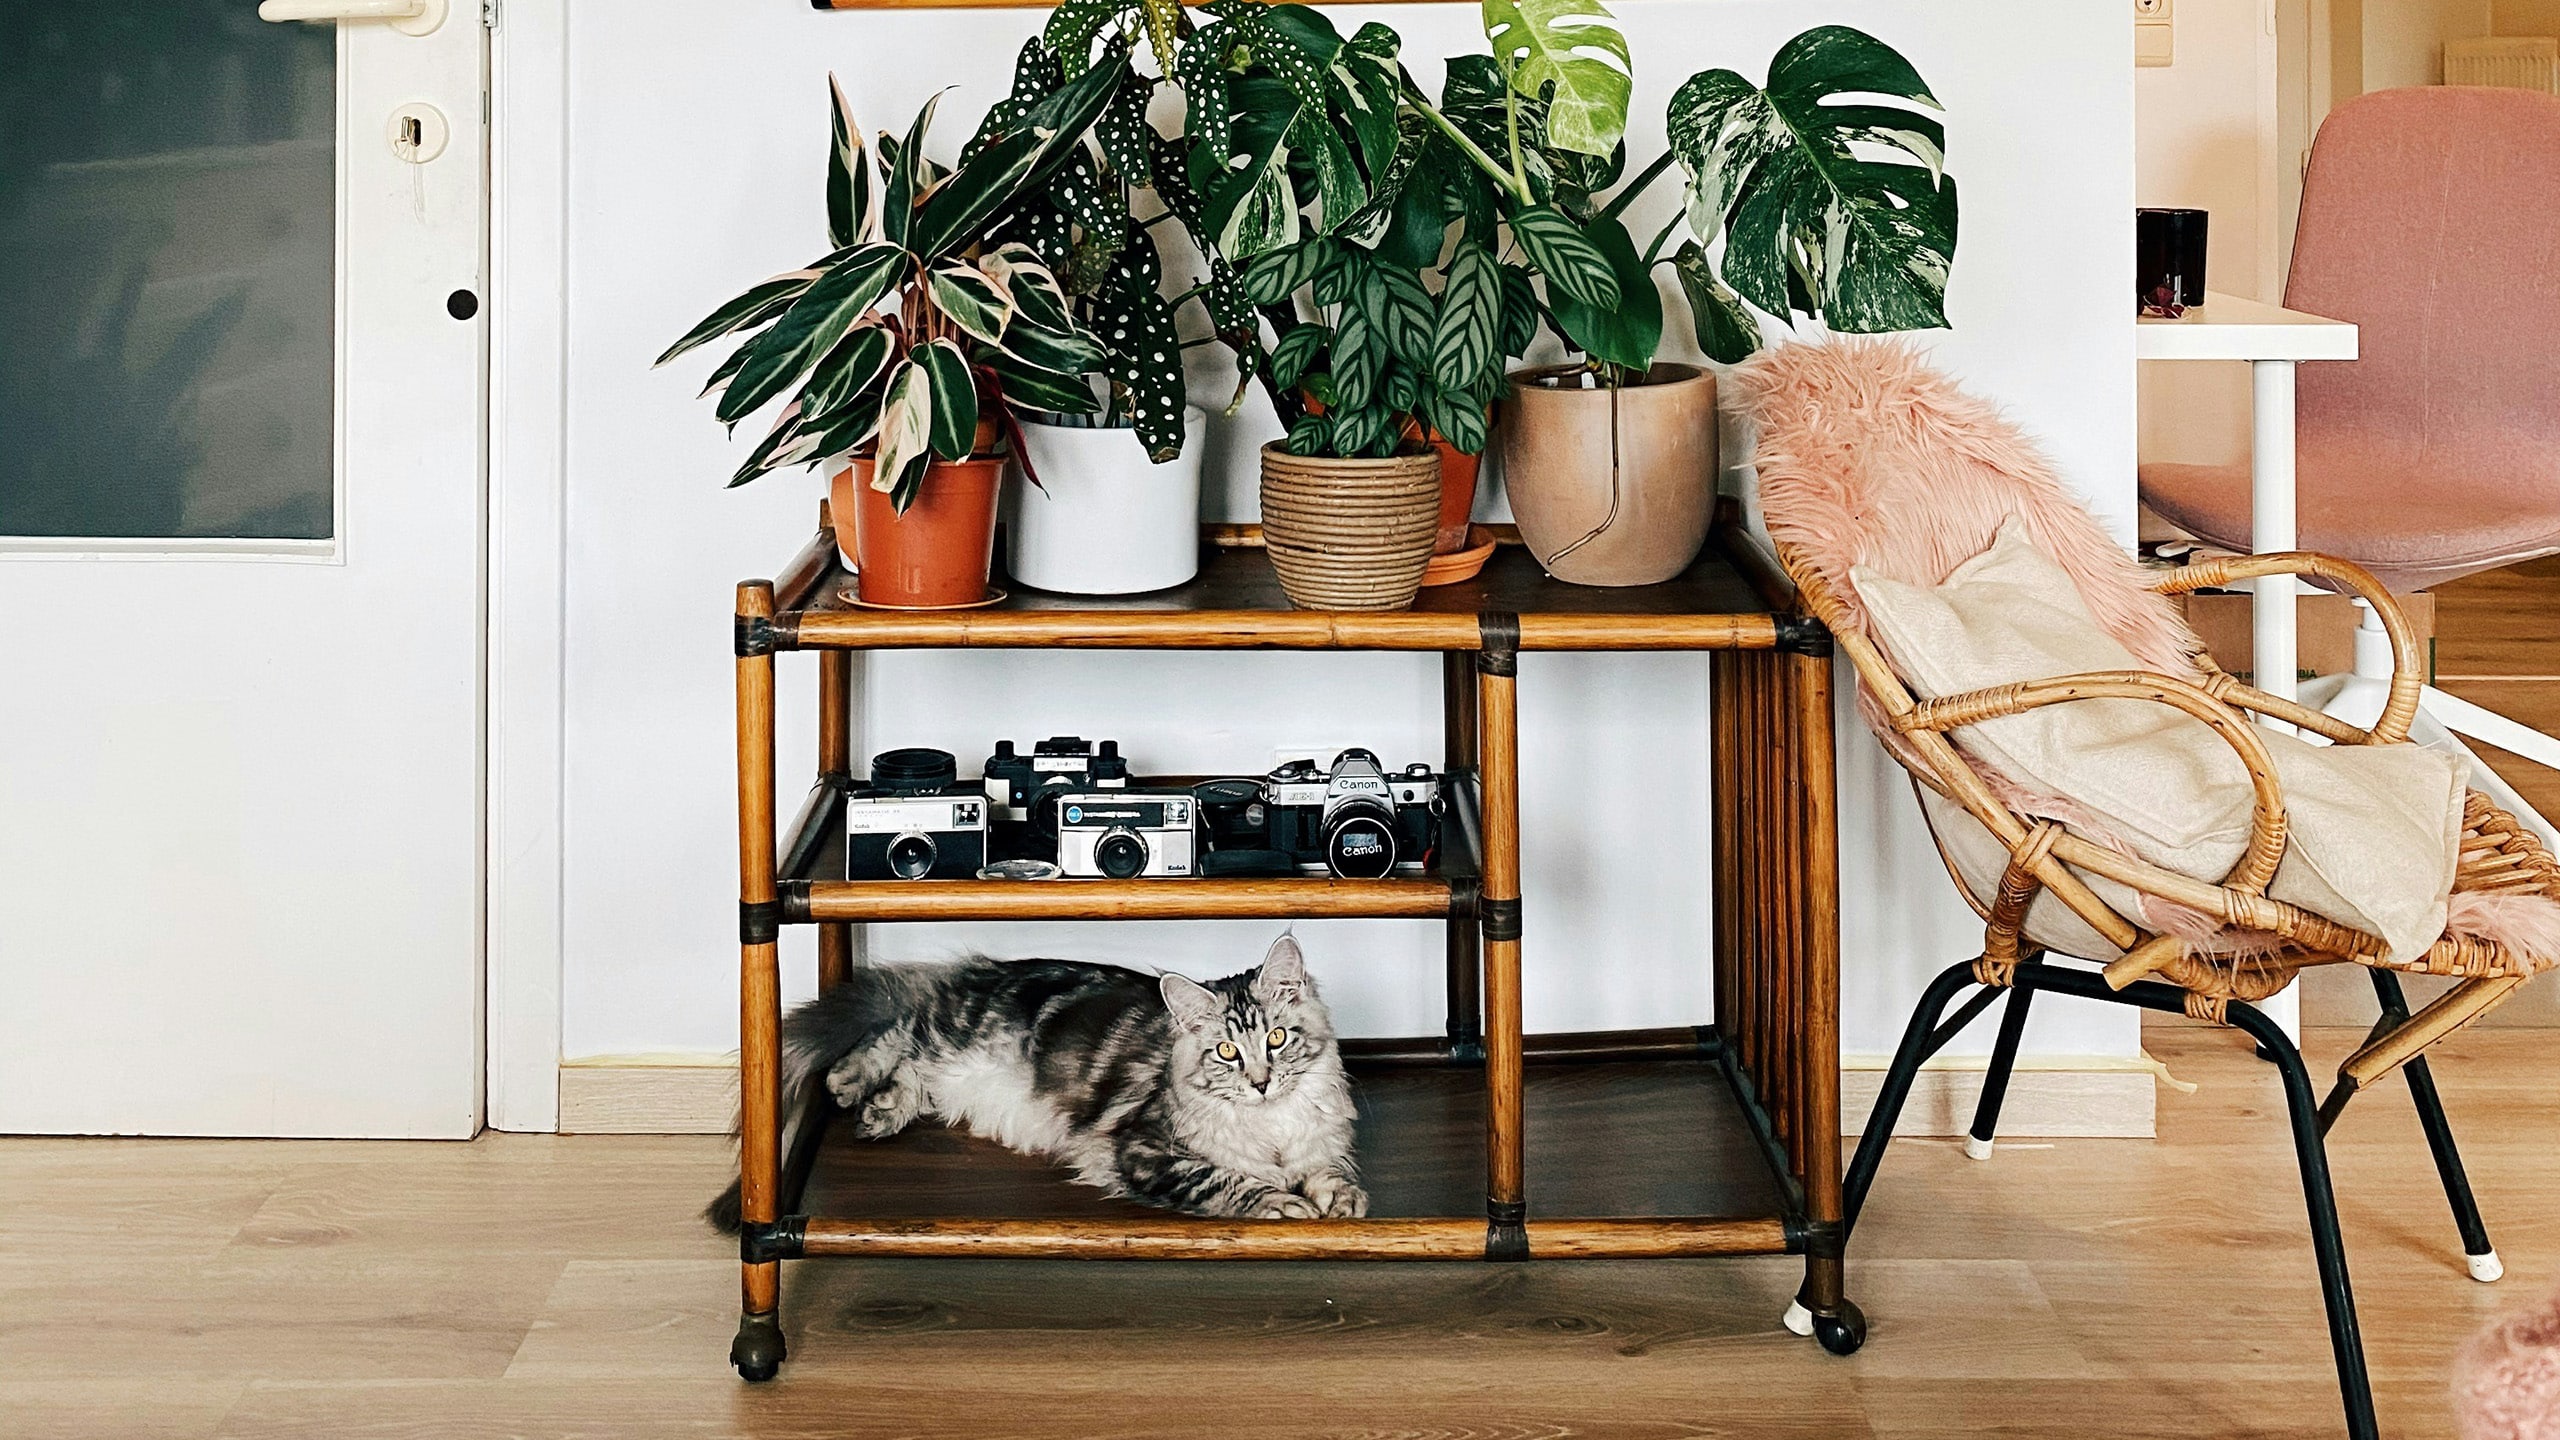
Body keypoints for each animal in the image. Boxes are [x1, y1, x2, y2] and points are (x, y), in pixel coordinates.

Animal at [706, 932, 1361, 1219]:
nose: (1261, 1083)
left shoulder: (1320, 1139)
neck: (1271, 1127)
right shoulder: (1145, 1149)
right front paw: (1283, 1205)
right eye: (1226, 1051)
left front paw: (1342, 1198)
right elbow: (1228, 1180)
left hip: (956, 1071)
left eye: (1276, 1039)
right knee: (897, 1031)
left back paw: (881, 1109)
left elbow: (1330, 1168)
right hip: (956, 1037)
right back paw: (848, 1081)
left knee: (913, 1067)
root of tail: (981, 973)